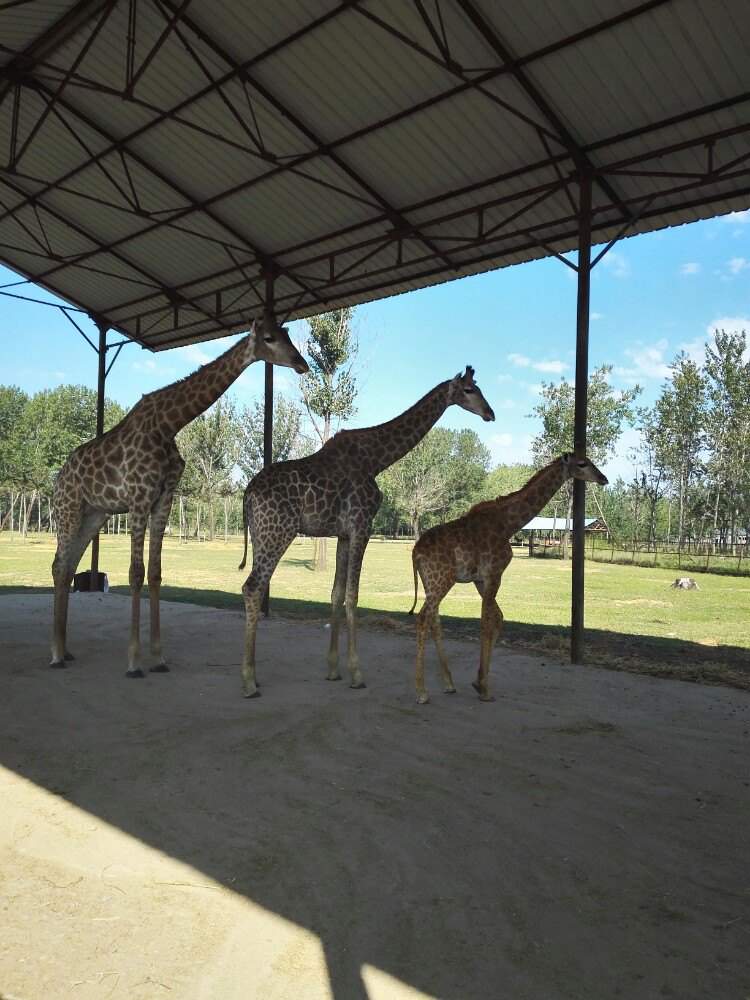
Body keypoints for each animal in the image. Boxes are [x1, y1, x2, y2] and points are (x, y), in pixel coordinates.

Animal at [52, 312, 308, 676]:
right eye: (270, 338)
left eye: (286, 333)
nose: (302, 363)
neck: (168, 424)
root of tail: (58, 478)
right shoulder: (139, 498)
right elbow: (135, 574)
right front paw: (134, 662)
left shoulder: (164, 499)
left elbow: (156, 574)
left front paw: (158, 658)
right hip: (69, 508)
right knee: (60, 566)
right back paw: (56, 654)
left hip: (94, 515)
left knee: (69, 565)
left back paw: (66, 649)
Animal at [241, 366, 496, 696]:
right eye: (468, 390)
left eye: (478, 388)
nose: (490, 413)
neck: (377, 460)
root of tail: (248, 493)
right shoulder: (362, 525)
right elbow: (353, 596)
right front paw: (356, 673)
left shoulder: (343, 533)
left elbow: (336, 593)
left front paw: (333, 669)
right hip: (278, 532)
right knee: (253, 587)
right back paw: (249, 680)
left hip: (261, 535)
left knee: (254, 586)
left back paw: (254, 676)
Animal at [412, 454, 612, 704]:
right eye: (582, 463)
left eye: (589, 460)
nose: (603, 478)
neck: (508, 523)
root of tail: (416, 552)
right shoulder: (494, 573)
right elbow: (486, 623)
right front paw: (485, 689)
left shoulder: (481, 580)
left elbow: (498, 618)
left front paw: (478, 681)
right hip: (441, 581)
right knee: (422, 619)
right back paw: (422, 692)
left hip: (431, 584)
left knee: (433, 620)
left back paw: (448, 683)